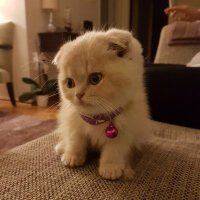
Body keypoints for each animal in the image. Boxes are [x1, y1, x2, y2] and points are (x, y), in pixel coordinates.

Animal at [54, 28, 149, 180]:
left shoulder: (124, 130)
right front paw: (72, 156)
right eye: (70, 83)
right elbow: (75, 140)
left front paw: (110, 167)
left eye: (95, 78)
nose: (78, 94)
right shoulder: (74, 122)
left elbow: (114, 150)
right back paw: (62, 147)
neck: (96, 118)